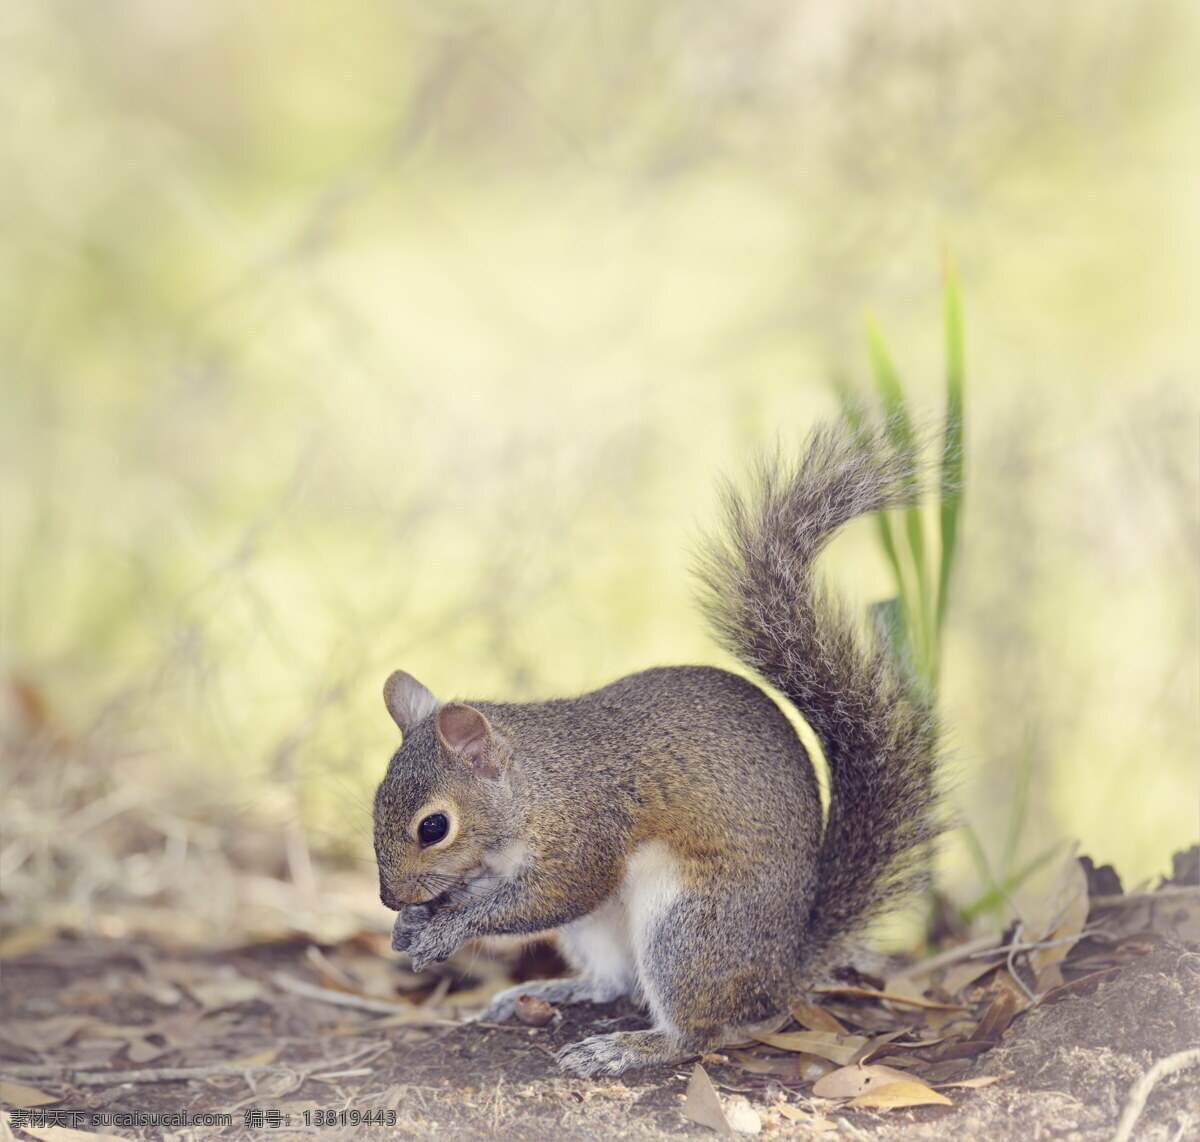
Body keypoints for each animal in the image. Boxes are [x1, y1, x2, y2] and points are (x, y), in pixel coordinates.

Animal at [369, 415, 940, 1074]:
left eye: (433, 827)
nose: (389, 898)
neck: (532, 791)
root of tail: (780, 973)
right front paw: (414, 923)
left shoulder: (585, 832)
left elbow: (550, 896)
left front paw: (445, 930)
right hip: (605, 931)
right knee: (614, 981)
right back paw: (549, 991)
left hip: (688, 926)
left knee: (696, 1032)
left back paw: (626, 1048)